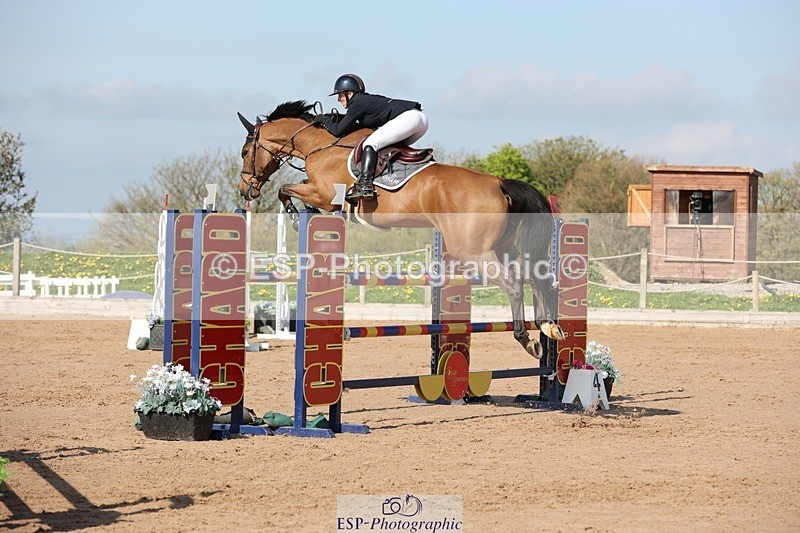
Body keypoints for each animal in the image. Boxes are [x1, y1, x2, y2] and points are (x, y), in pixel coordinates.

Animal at [237, 100, 564, 358]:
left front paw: (296, 216)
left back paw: (527, 340)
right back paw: (549, 327)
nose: (245, 190)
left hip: (474, 251)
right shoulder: (317, 190)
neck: (320, 145)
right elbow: (291, 188)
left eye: (244, 151)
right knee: (538, 279)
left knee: (514, 284)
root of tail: (499, 182)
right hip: (508, 248)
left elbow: (285, 190)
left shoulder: (324, 194)